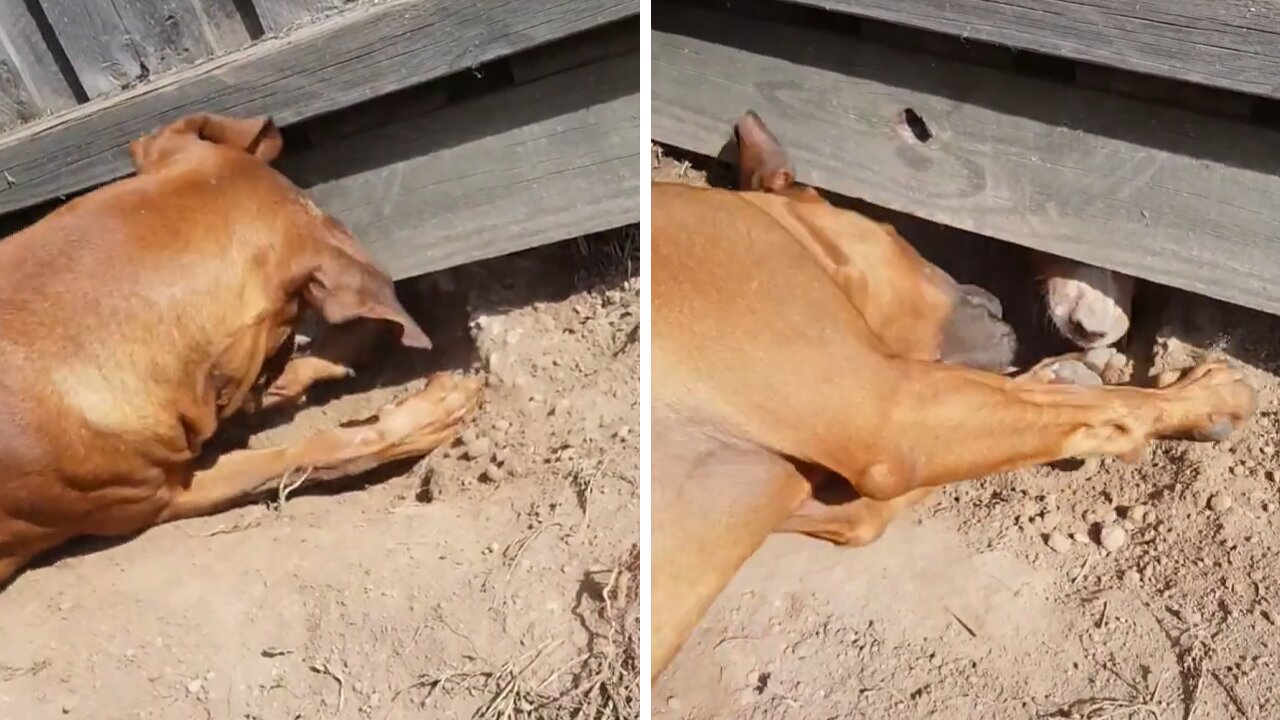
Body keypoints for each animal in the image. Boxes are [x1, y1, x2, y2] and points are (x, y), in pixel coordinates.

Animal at [655, 109, 1254, 676]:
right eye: (897, 234)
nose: (992, 299)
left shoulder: (831, 499)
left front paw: (1060, 375)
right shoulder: (895, 419)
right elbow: (1114, 404)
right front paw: (1201, 399)